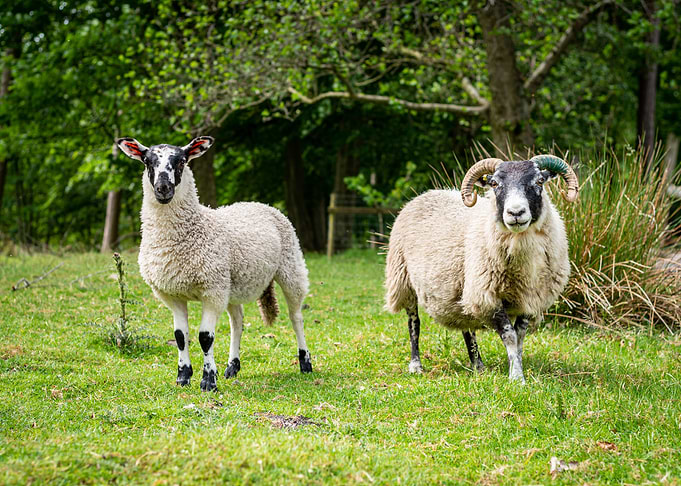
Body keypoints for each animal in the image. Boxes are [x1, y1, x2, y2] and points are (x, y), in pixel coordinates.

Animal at [116, 136, 312, 392]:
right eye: (147, 162)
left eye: (181, 162)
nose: (163, 188)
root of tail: (258, 203)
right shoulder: (172, 294)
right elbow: (180, 336)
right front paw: (183, 377)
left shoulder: (212, 290)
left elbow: (205, 337)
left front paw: (208, 380)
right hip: (231, 284)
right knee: (237, 321)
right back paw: (232, 367)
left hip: (290, 265)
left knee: (295, 316)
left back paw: (305, 362)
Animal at [384, 155, 579, 382]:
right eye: (494, 184)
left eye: (539, 181)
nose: (516, 213)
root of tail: (426, 193)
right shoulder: (488, 296)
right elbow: (510, 336)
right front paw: (516, 378)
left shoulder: (530, 298)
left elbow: (520, 337)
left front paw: (517, 369)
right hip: (403, 279)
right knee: (414, 323)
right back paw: (416, 364)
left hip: (460, 289)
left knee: (467, 326)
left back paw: (478, 365)